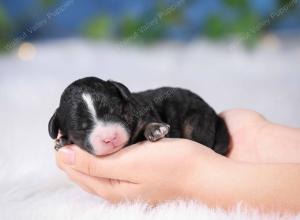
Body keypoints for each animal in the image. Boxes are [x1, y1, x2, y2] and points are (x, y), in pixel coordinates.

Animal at [48, 76, 229, 156]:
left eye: (117, 111)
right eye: (81, 129)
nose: (110, 138)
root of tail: (214, 114)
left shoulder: (146, 115)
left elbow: (148, 124)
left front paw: (156, 129)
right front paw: (63, 140)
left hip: (195, 120)